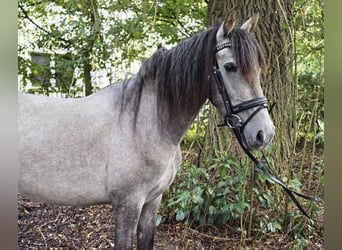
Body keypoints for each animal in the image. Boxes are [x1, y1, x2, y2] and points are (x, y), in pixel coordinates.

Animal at [18, 12, 276, 249]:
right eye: (230, 67)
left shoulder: (152, 201)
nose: (264, 134)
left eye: (258, 69)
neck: (142, 124)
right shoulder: (128, 205)